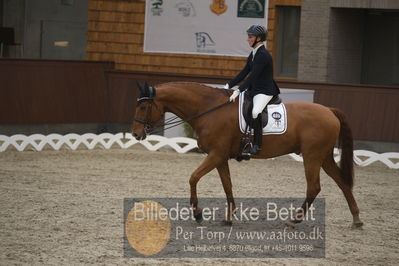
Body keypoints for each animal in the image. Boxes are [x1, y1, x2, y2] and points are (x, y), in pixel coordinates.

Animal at [133, 81, 364, 229]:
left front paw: (198, 213)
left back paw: (293, 220)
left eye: (143, 106)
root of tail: (329, 110)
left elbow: (193, 177)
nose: (135, 134)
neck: (209, 109)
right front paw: (228, 218)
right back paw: (356, 219)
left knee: (314, 187)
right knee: (343, 182)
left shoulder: (215, 154)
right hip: (323, 157)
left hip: (312, 156)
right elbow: (227, 185)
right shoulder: (220, 157)